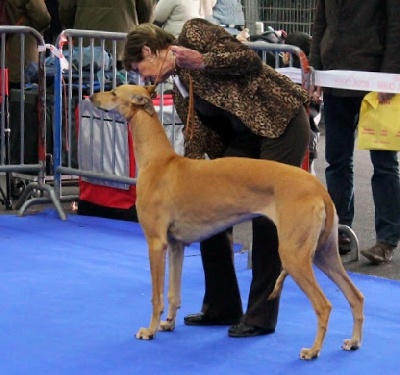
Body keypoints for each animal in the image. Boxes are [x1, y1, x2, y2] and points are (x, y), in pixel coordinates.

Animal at [89, 83, 364, 360]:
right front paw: (168, 323)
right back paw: (353, 342)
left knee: (324, 305)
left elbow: (156, 296)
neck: (160, 161)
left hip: (294, 255)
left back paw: (313, 350)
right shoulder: (176, 246)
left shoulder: (156, 243)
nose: (91, 96)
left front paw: (150, 330)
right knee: (356, 296)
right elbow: (173, 293)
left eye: (114, 93)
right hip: (323, 253)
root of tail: (319, 189)